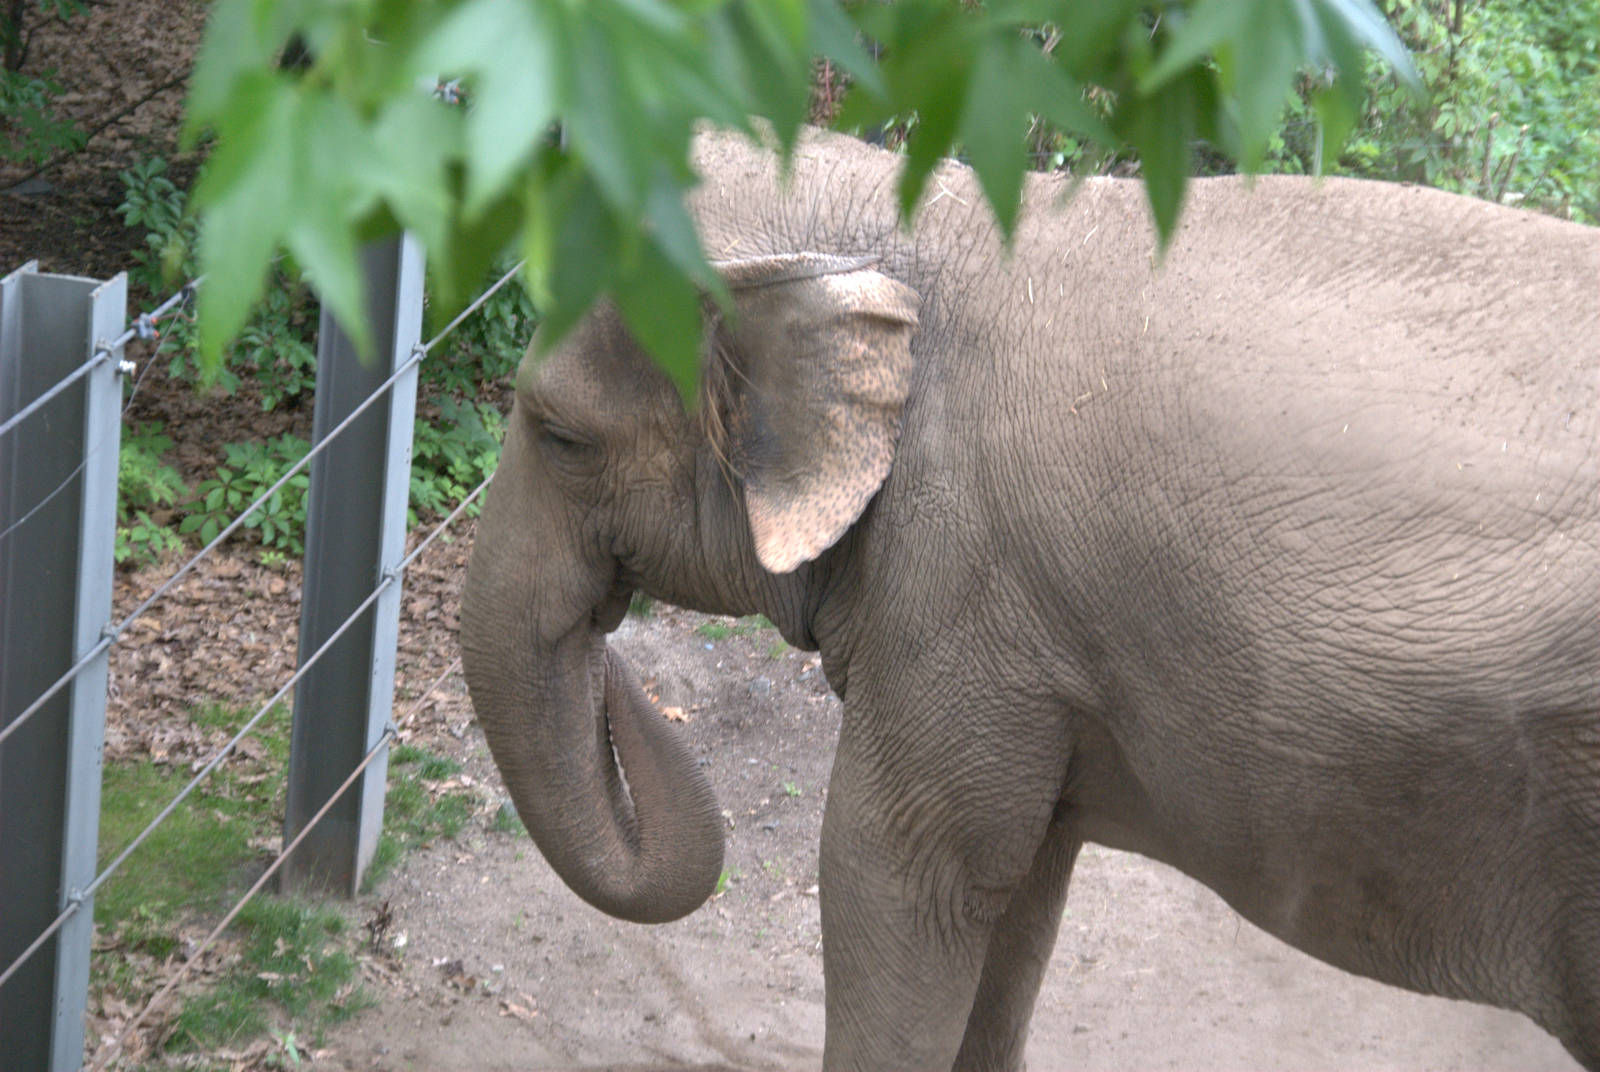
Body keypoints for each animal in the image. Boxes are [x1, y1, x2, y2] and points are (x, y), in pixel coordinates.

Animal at [460, 127, 1600, 1071]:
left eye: (559, 436)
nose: (616, 658)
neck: (903, 216)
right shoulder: (1029, 650)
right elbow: (1017, 890)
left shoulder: (961, 589)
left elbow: (893, 877)